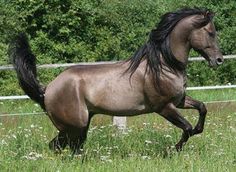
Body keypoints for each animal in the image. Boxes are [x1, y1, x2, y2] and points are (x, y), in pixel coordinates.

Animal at [9, 7, 223, 155]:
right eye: (211, 32)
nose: (219, 60)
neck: (164, 65)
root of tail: (47, 89)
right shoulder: (164, 107)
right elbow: (186, 128)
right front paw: (173, 149)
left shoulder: (179, 101)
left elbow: (202, 108)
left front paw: (196, 131)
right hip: (74, 126)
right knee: (59, 146)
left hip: (80, 125)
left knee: (65, 147)